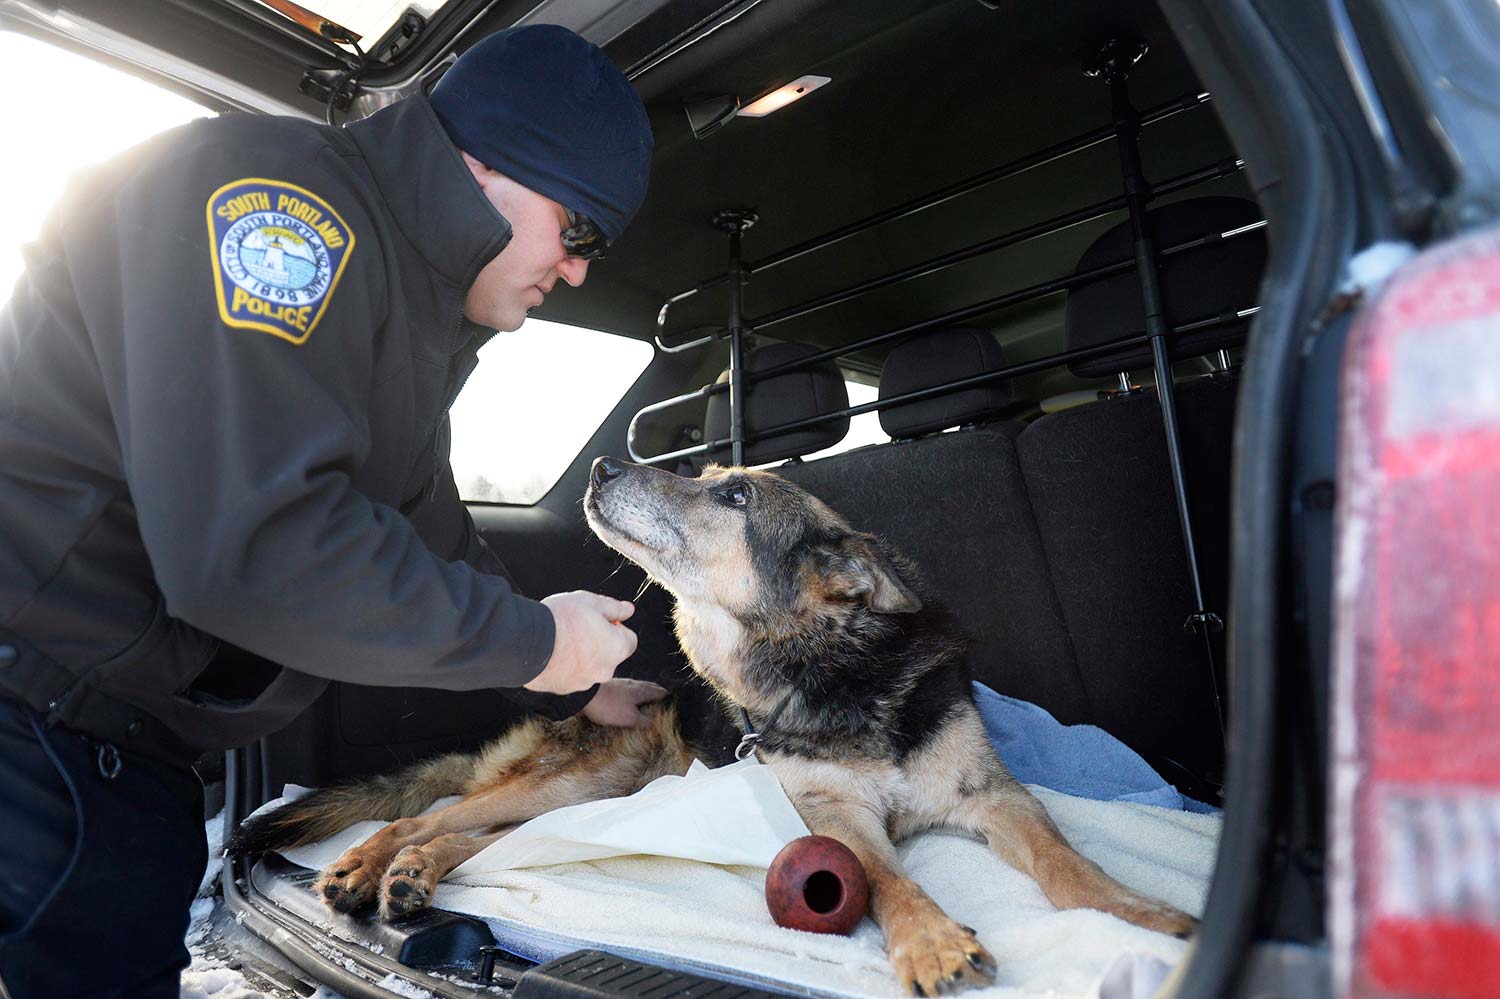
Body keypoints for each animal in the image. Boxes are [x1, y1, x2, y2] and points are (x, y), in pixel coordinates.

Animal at [231, 456, 1194, 990]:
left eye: (732, 495)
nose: (601, 468)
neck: (828, 676)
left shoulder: (994, 793)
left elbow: (1066, 864)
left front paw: (1142, 915)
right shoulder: (833, 816)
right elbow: (888, 881)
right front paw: (930, 942)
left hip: (603, 800)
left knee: (472, 839)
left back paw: (408, 879)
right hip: (578, 778)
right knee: (421, 817)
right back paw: (362, 866)